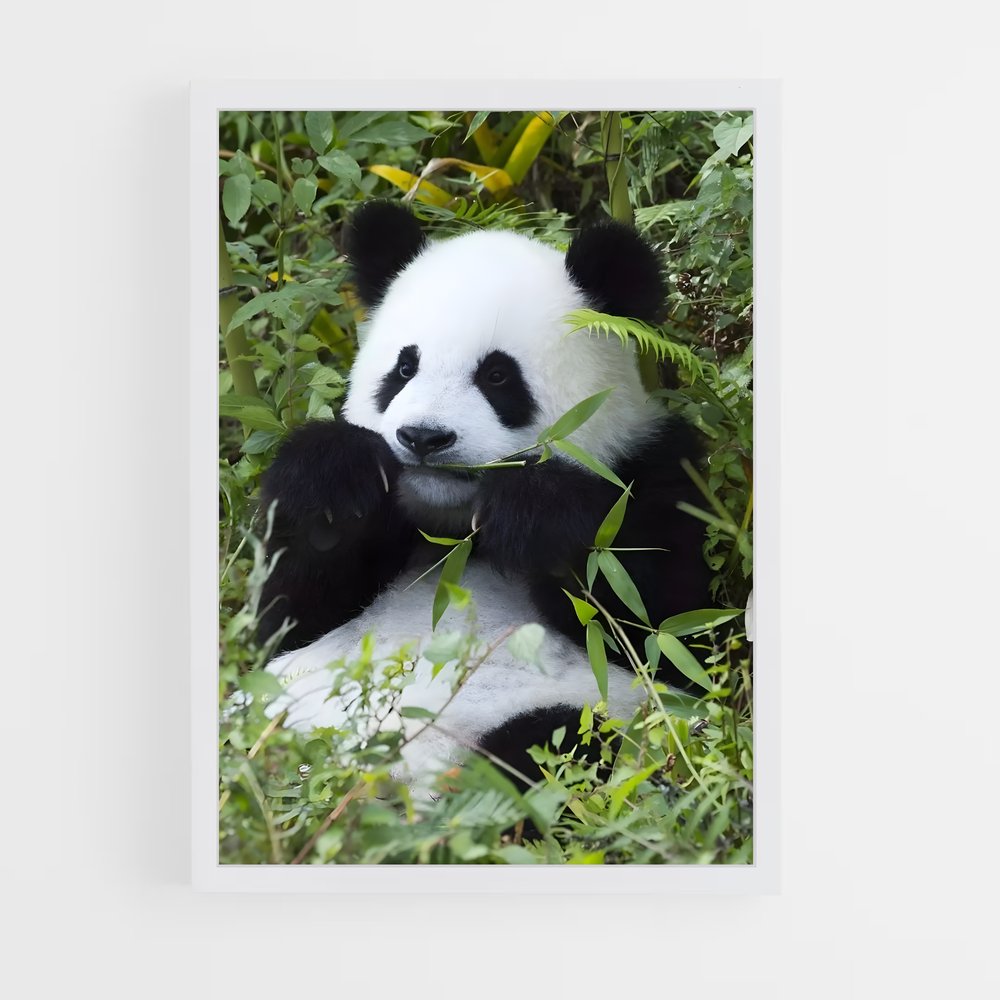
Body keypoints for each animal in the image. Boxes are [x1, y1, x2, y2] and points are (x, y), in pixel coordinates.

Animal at [258, 200, 712, 790]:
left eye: (497, 376)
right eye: (404, 368)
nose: (424, 437)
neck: (451, 530)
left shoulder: (652, 470)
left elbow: (663, 631)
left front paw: (533, 511)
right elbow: (289, 617)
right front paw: (335, 476)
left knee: (557, 742)